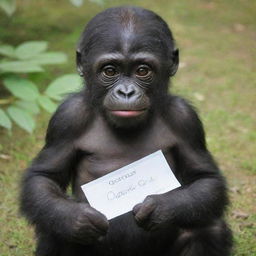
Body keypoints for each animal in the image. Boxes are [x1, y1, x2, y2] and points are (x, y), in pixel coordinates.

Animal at [20, 6, 232, 256]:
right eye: (110, 71)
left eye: (142, 70)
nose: (127, 92)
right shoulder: (66, 119)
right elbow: (44, 177)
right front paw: (79, 219)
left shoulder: (185, 120)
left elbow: (205, 178)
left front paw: (159, 208)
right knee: (56, 231)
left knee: (207, 227)